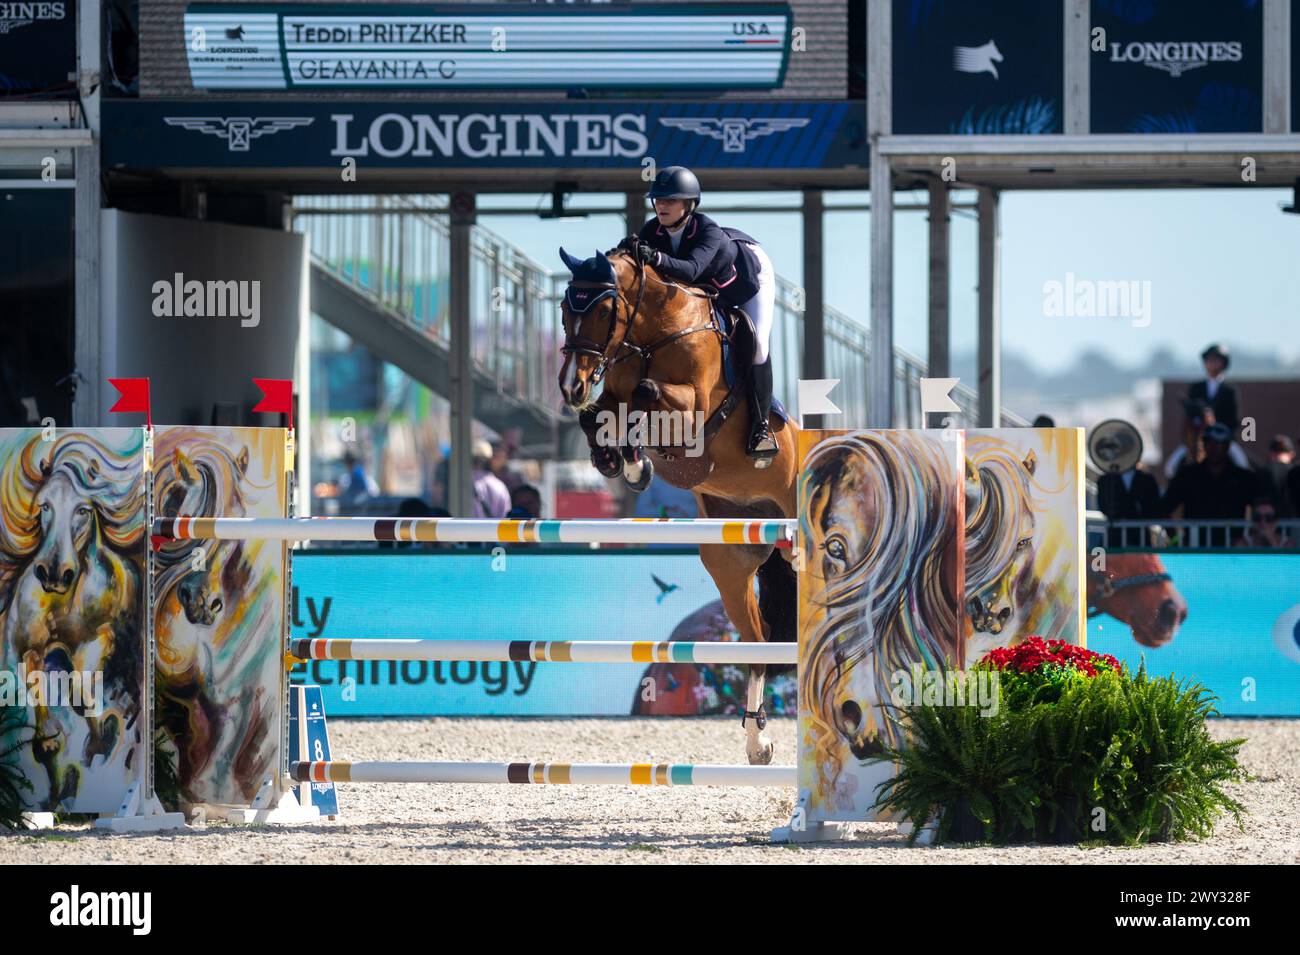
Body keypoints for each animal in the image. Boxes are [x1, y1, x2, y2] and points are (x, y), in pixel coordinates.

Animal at [0, 433, 143, 815]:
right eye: (45, 506)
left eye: (83, 509)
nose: (53, 573)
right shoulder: (28, 651)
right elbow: (43, 704)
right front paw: (51, 750)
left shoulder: (97, 641)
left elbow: (81, 690)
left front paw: (103, 737)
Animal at [561, 248, 800, 769]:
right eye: (566, 308)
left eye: (603, 311)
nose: (571, 386)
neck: (652, 336)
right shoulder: (614, 391)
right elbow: (602, 415)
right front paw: (625, 464)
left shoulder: (692, 406)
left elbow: (646, 395)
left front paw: (635, 459)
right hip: (730, 564)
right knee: (757, 646)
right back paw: (757, 743)